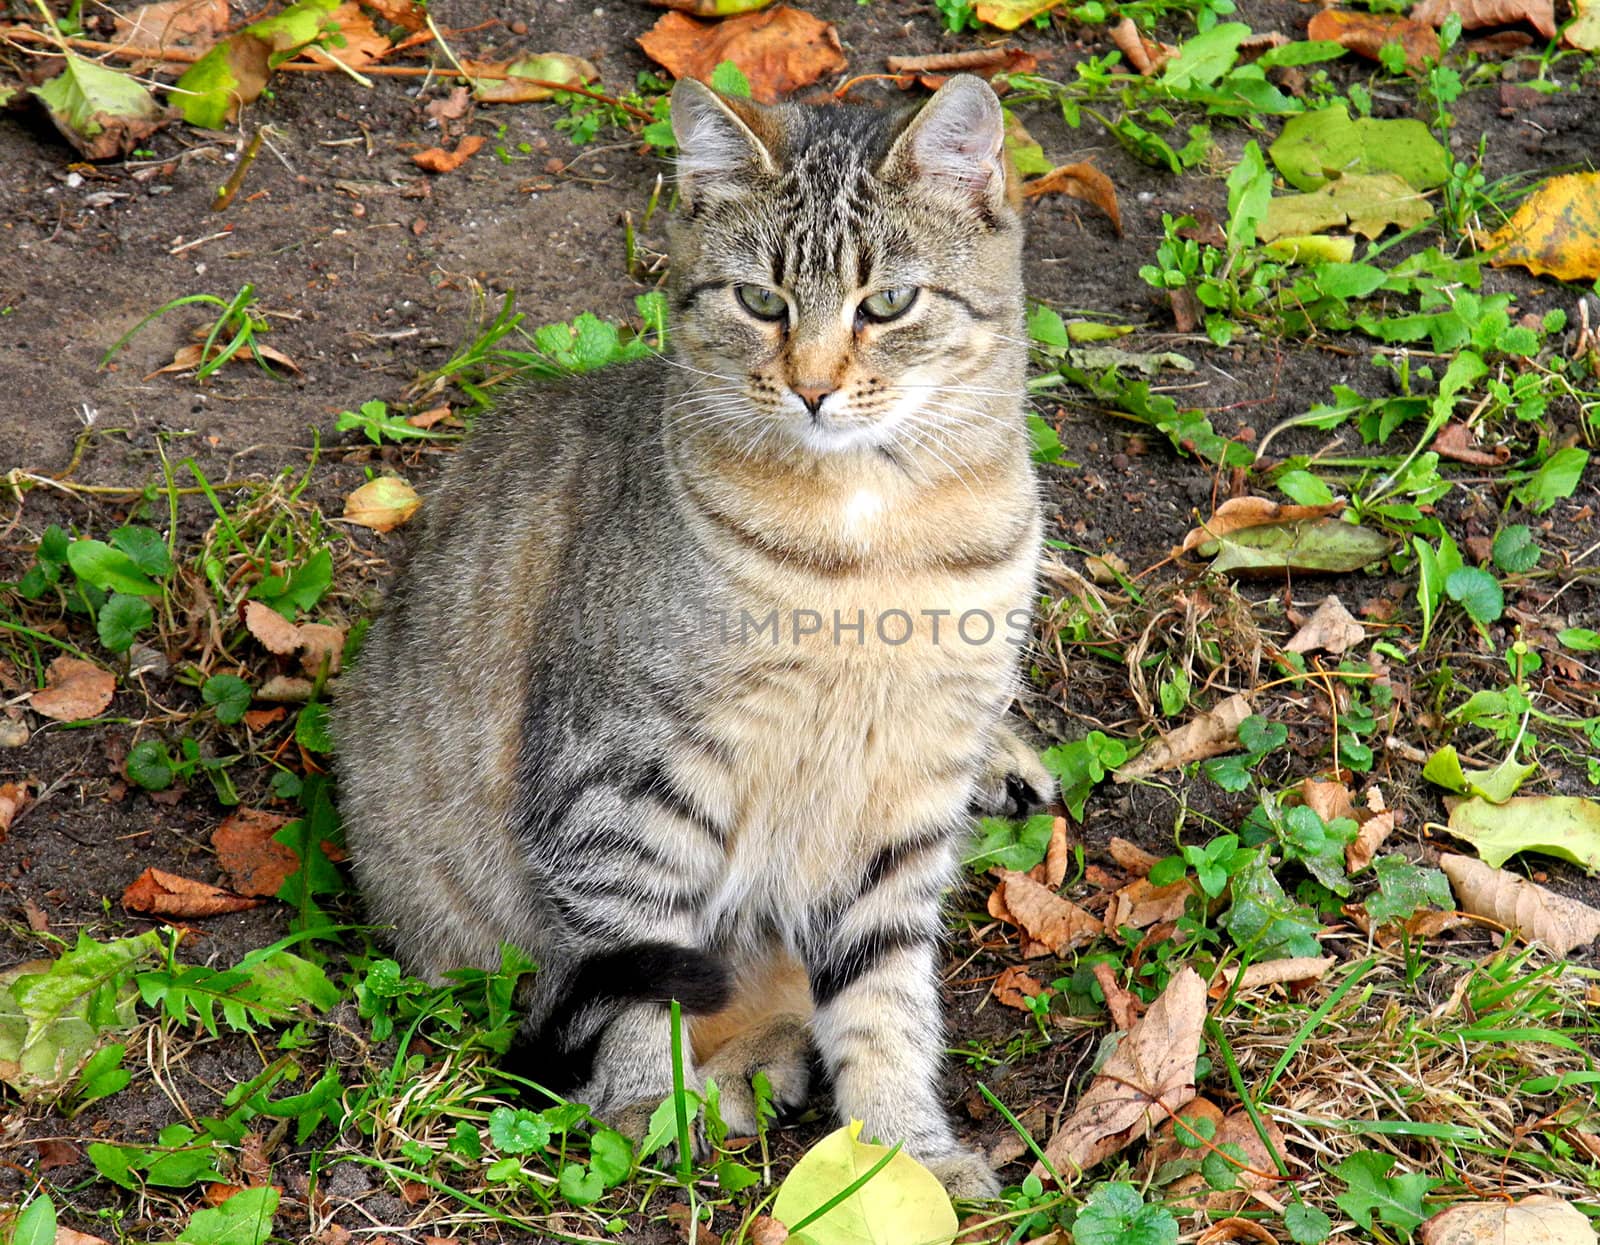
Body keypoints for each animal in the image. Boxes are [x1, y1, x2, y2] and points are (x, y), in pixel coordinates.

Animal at [337, 75, 1049, 1190]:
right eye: (760, 301)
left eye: (887, 304)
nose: (812, 386)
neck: (870, 550)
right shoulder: (624, 780)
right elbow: (636, 961)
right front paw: (641, 1100)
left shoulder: (903, 789)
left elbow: (886, 998)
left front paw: (902, 1155)